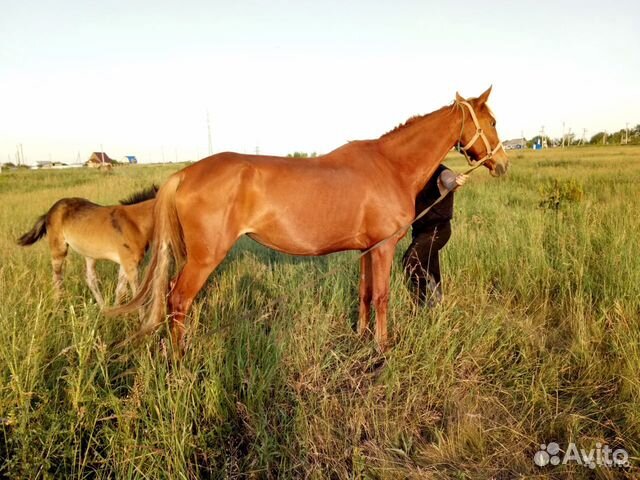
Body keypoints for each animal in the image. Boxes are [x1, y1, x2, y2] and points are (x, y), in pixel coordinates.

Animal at [17, 186, 158, 306]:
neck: (136, 223)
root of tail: (50, 211)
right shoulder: (130, 264)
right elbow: (137, 293)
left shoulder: (127, 262)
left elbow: (120, 289)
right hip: (59, 249)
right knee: (57, 276)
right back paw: (59, 303)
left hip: (89, 254)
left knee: (91, 280)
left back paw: (103, 308)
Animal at [111, 88, 510, 352]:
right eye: (491, 121)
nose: (502, 164)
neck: (391, 165)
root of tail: (184, 174)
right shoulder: (383, 247)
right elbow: (382, 296)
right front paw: (382, 348)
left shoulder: (366, 250)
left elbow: (365, 294)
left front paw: (360, 338)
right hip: (205, 258)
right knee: (178, 300)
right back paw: (181, 359)